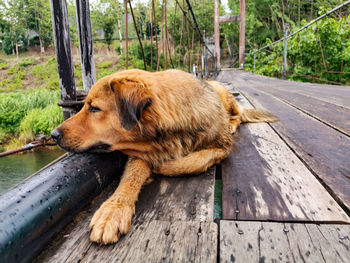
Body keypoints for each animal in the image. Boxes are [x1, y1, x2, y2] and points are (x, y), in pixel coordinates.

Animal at [50, 69, 278, 244]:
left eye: (94, 108)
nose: (53, 135)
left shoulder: (223, 147)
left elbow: (195, 160)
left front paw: (163, 165)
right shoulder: (141, 152)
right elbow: (131, 176)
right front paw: (114, 209)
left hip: (225, 95)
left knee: (239, 115)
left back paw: (232, 122)